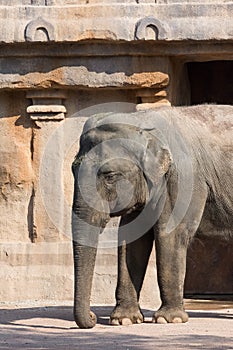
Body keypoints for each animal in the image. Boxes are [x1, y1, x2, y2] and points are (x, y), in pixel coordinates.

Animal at [71, 104, 233, 328]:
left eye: (109, 176)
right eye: (72, 170)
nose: (93, 317)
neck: (142, 122)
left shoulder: (183, 178)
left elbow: (170, 233)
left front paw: (169, 319)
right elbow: (132, 238)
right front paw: (123, 320)